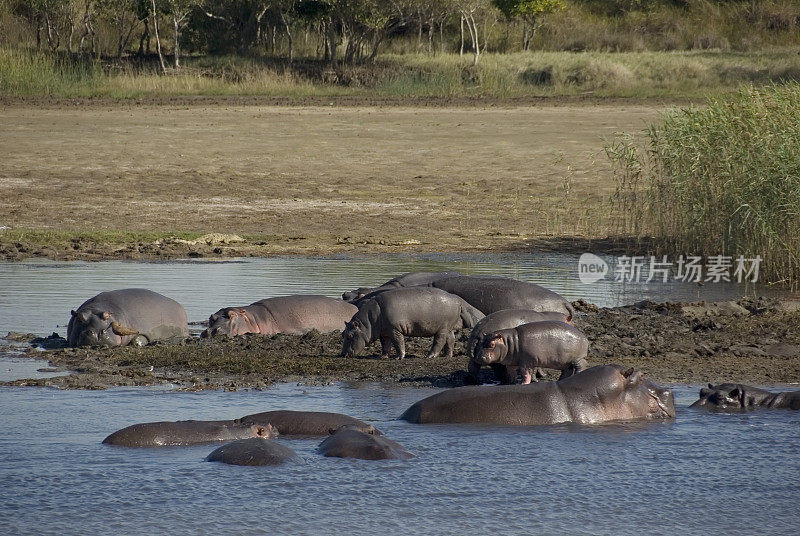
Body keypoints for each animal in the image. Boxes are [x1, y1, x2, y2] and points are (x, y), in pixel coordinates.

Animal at [340, 286, 484, 358]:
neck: (368, 323)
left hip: (442, 328)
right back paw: (447, 356)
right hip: (448, 327)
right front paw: (383, 357)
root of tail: (458, 301)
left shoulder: (394, 329)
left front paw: (399, 357)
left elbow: (398, 343)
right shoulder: (384, 332)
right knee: (450, 340)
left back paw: (429, 356)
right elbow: (385, 345)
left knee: (439, 341)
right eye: (342, 334)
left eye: (350, 335)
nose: (342, 354)